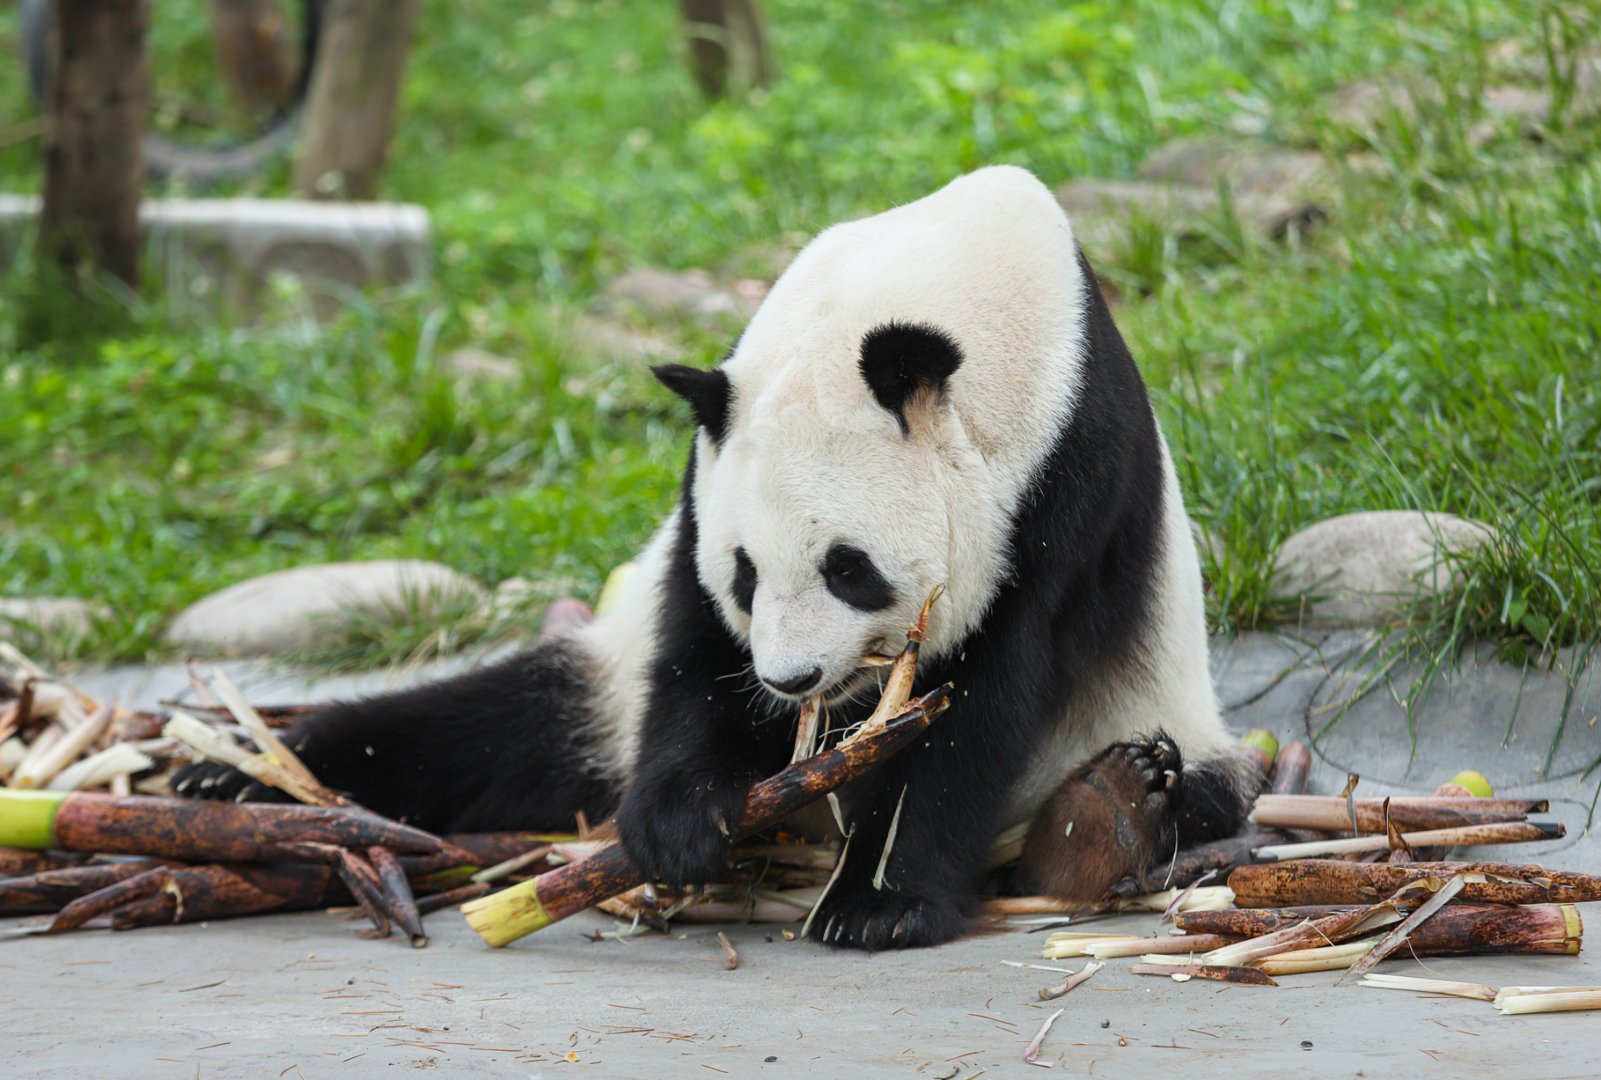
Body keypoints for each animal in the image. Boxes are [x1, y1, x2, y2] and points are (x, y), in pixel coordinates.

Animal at [175, 166, 1254, 950]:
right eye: (745, 571)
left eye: (849, 567)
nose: (792, 681)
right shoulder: (704, 476)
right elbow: (690, 647)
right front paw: (679, 826)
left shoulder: (1060, 487)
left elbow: (979, 696)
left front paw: (877, 900)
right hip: (590, 693)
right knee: (473, 728)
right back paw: (237, 782)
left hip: (1155, 706)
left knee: (1198, 790)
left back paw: (1112, 804)